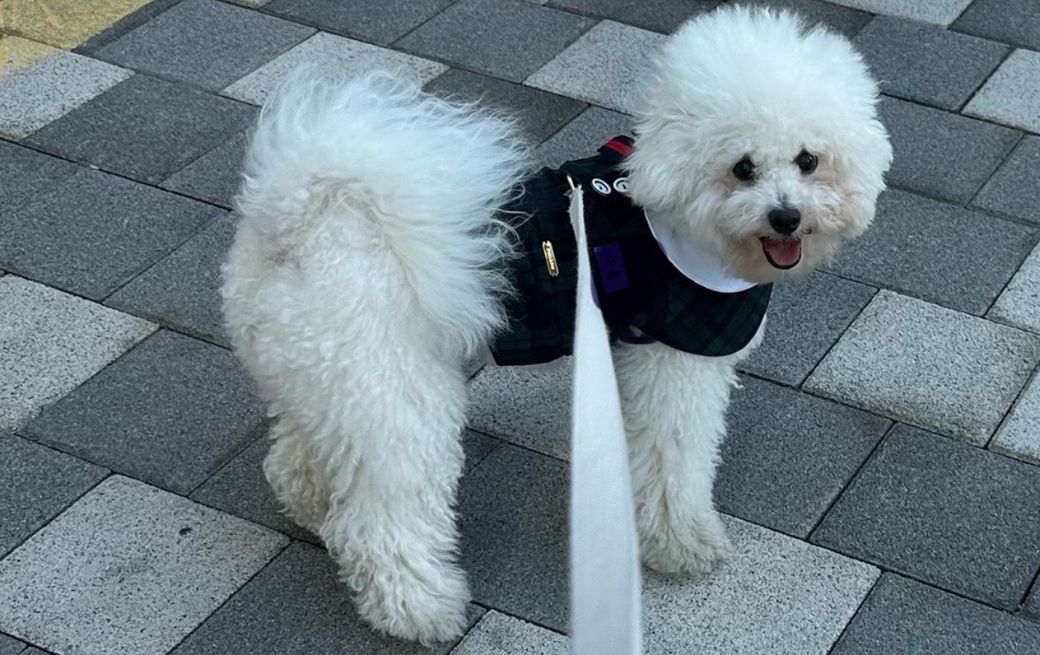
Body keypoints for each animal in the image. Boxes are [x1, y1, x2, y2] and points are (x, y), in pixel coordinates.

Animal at [221, 5, 892, 644]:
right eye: (743, 168)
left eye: (808, 160)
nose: (786, 217)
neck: (675, 219)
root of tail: (299, 223)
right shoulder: (676, 359)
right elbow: (675, 457)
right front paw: (682, 544)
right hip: (393, 394)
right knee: (382, 518)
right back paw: (421, 610)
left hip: (327, 379)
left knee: (302, 455)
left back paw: (313, 509)